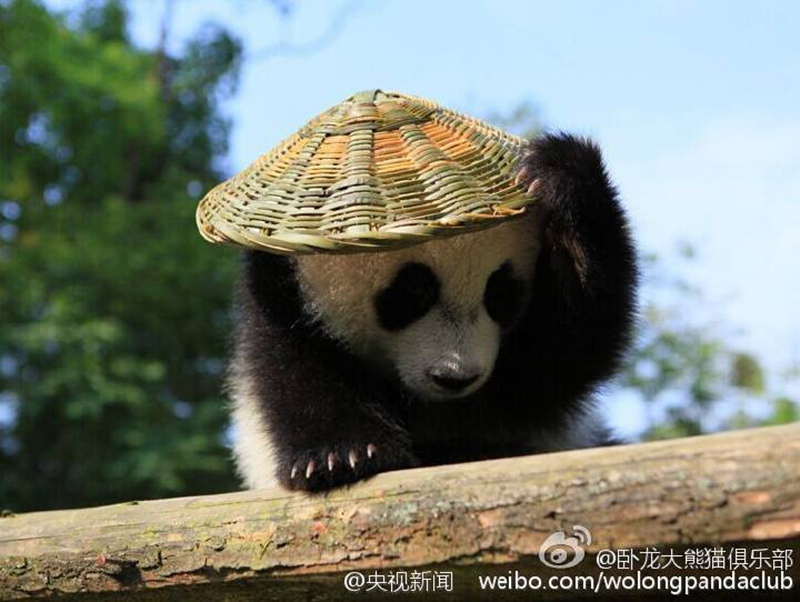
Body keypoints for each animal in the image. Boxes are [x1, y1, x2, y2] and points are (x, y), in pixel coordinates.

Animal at [229, 132, 638, 492]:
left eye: (500, 293)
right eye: (414, 291)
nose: (455, 378)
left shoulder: (519, 387)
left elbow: (565, 350)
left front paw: (556, 173)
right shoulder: (282, 300)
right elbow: (295, 372)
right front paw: (340, 457)